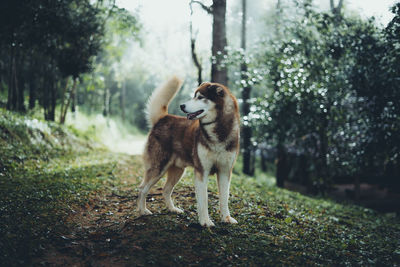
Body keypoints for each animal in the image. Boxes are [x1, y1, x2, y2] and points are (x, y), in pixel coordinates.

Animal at [138, 76, 239, 227]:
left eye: (200, 97)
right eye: (194, 96)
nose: (182, 106)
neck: (218, 132)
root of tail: (164, 118)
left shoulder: (225, 171)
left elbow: (224, 198)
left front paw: (226, 218)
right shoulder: (202, 171)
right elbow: (204, 200)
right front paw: (205, 221)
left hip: (178, 171)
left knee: (166, 190)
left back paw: (173, 209)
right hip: (158, 169)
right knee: (143, 188)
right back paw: (142, 210)